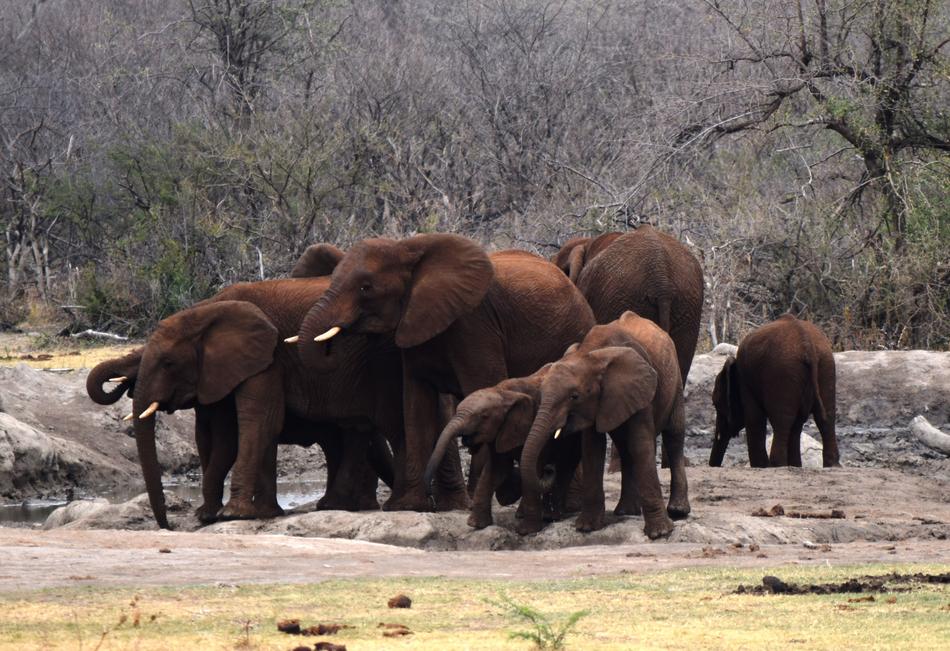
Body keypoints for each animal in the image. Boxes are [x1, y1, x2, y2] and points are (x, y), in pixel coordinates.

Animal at [98, 274, 404, 529]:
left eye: (168, 363)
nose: (167, 526)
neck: (206, 310)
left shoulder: (266, 356)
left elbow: (255, 423)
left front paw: (231, 514)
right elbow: (212, 435)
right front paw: (230, 514)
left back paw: (344, 506)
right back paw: (342, 505)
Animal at [295, 234, 596, 512]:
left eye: (366, 287)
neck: (406, 248)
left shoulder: (475, 323)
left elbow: (484, 388)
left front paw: (489, 496)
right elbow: (416, 405)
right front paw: (408, 506)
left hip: (574, 331)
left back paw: (567, 506)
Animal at [422, 365, 582, 529]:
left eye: (484, 416)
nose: (431, 499)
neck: (502, 392)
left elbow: (533, 466)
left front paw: (527, 528)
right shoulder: (500, 431)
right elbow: (496, 469)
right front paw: (476, 524)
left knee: (565, 465)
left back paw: (549, 516)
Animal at [520, 311, 690, 539]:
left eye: (574, 396)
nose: (548, 469)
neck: (590, 354)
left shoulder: (638, 387)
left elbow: (640, 444)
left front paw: (660, 533)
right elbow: (592, 448)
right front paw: (587, 527)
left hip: (676, 381)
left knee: (674, 436)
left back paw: (678, 511)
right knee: (625, 448)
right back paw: (626, 511)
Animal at [709, 313, 840, 468]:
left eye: (717, 404)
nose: (713, 465)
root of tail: (808, 345)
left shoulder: (746, 384)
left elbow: (754, 418)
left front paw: (761, 466)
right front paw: (793, 465)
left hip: (783, 371)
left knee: (782, 421)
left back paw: (777, 464)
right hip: (825, 365)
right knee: (825, 418)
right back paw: (832, 465)